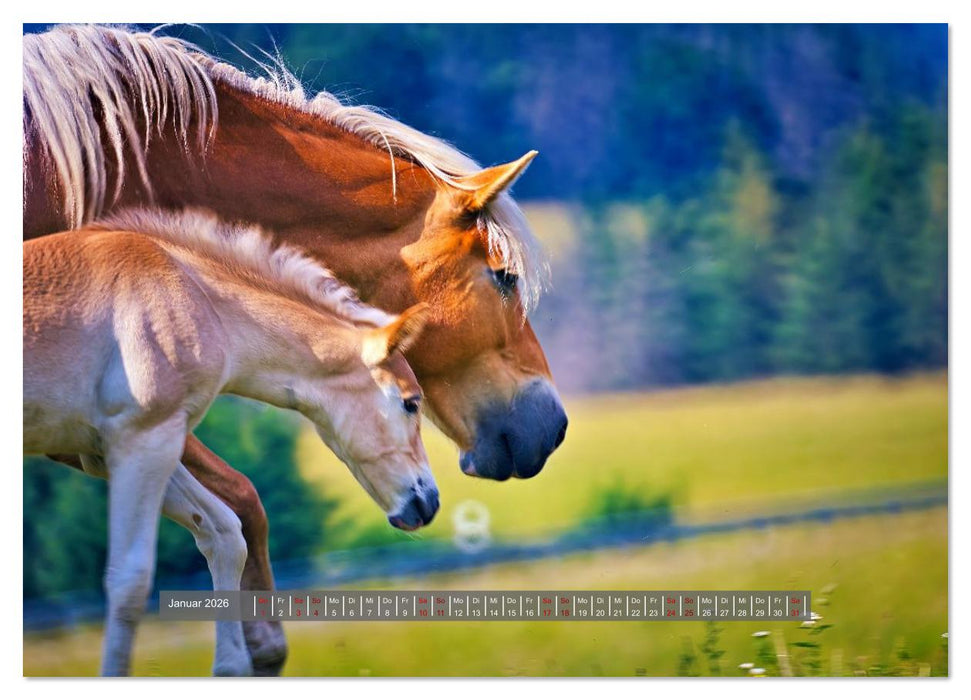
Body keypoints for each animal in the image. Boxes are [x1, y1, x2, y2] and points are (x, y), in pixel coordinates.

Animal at [24, 208, 437, 675]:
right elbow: (130, 579)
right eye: (410, 402)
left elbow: (224, 533)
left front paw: (233, 665)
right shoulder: (144, 440)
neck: (190, 291)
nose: (429, 501)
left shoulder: (113, 449)